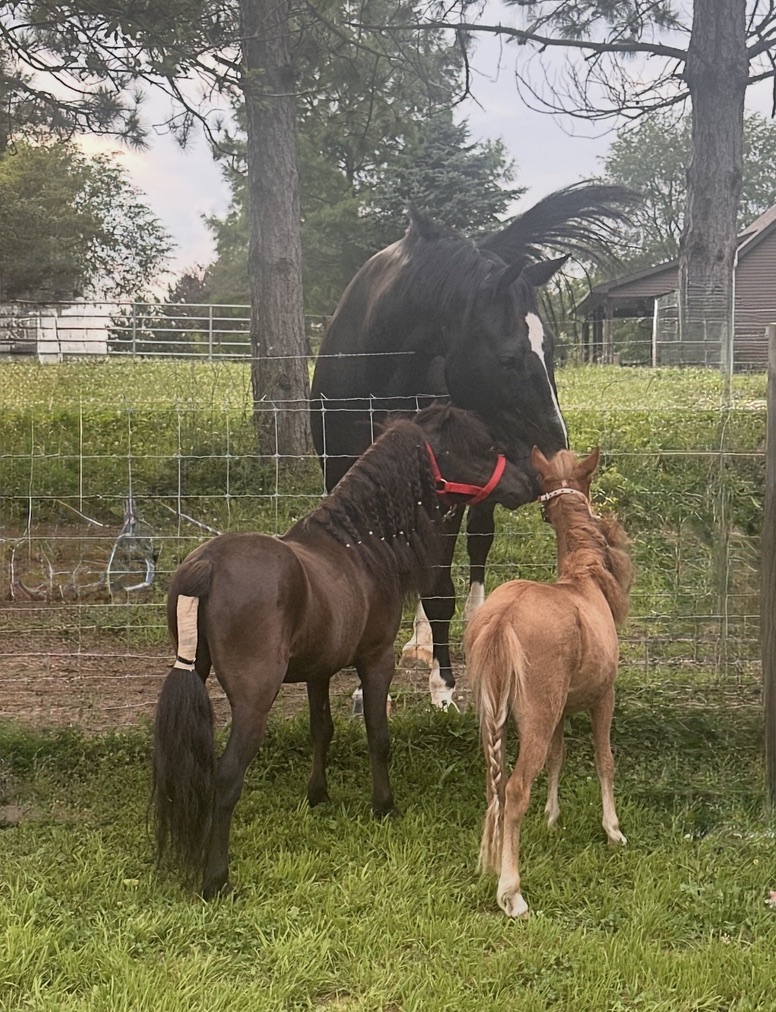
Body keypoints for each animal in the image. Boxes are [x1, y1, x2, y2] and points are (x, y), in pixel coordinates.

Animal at [152, 403, 538, 899]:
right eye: (484, 447)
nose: (528, 483)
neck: (359, 547)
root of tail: (207, 565)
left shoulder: (318, 670)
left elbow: (322, 729)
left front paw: (317, 795)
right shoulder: (376, 661)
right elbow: (378, 735)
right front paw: (384, 805)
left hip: (196, 674)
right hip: (254, 701)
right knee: (226, 776)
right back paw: (215, 877)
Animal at [310, 182, 636, 708]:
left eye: (552, 351)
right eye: (508, 359)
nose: (555, 454)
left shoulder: (450, 494)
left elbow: (442, 587)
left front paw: (442, 686)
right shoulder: (343, 480)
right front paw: (364, 686)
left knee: (476, 548)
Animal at [465, 445, 633, 918]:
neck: (585, 579)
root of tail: (503, 618)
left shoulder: (559, 709)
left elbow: (559, 758)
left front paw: (553, 818)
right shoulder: (602, 697)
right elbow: (604, 759)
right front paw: (613, 830)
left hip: (499, 719)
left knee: (497, 786)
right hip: (536, 719)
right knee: (516, 787)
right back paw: (511, 891)